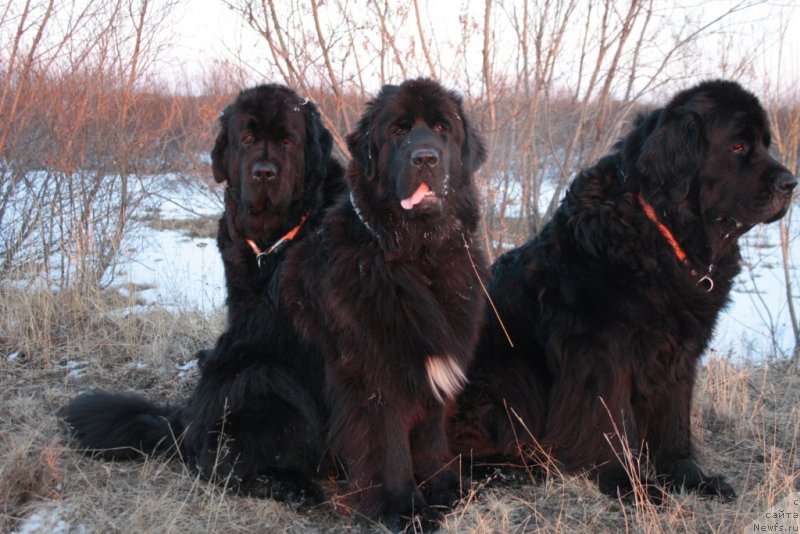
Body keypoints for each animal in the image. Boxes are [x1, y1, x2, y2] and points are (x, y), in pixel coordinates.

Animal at [61, 84, 344, 506]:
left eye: (288, 141)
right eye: (247, 139)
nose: (264, 173)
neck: (272, 242)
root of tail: (184, 420)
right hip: (257, 376)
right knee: (223, 460)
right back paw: (292, 486)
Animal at [282, 77, 488, 528]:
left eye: (443, 128)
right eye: (398, 130)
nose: (425, 158)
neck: (416, 257)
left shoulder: (435, 370)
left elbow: (432, 438)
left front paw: (447, 489)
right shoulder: (375, 378)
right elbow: (390, 448)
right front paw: (404, 509)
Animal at [446, 80, 796, 502]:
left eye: (764, 144)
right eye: (739, 146)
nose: (791, 183)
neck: (658, 229)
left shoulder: (678, 353)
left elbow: (673, 420)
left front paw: (689, 477)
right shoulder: (600, 352)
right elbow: (609, 422)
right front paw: (628, 483)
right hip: (508, 373)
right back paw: (515, 468)